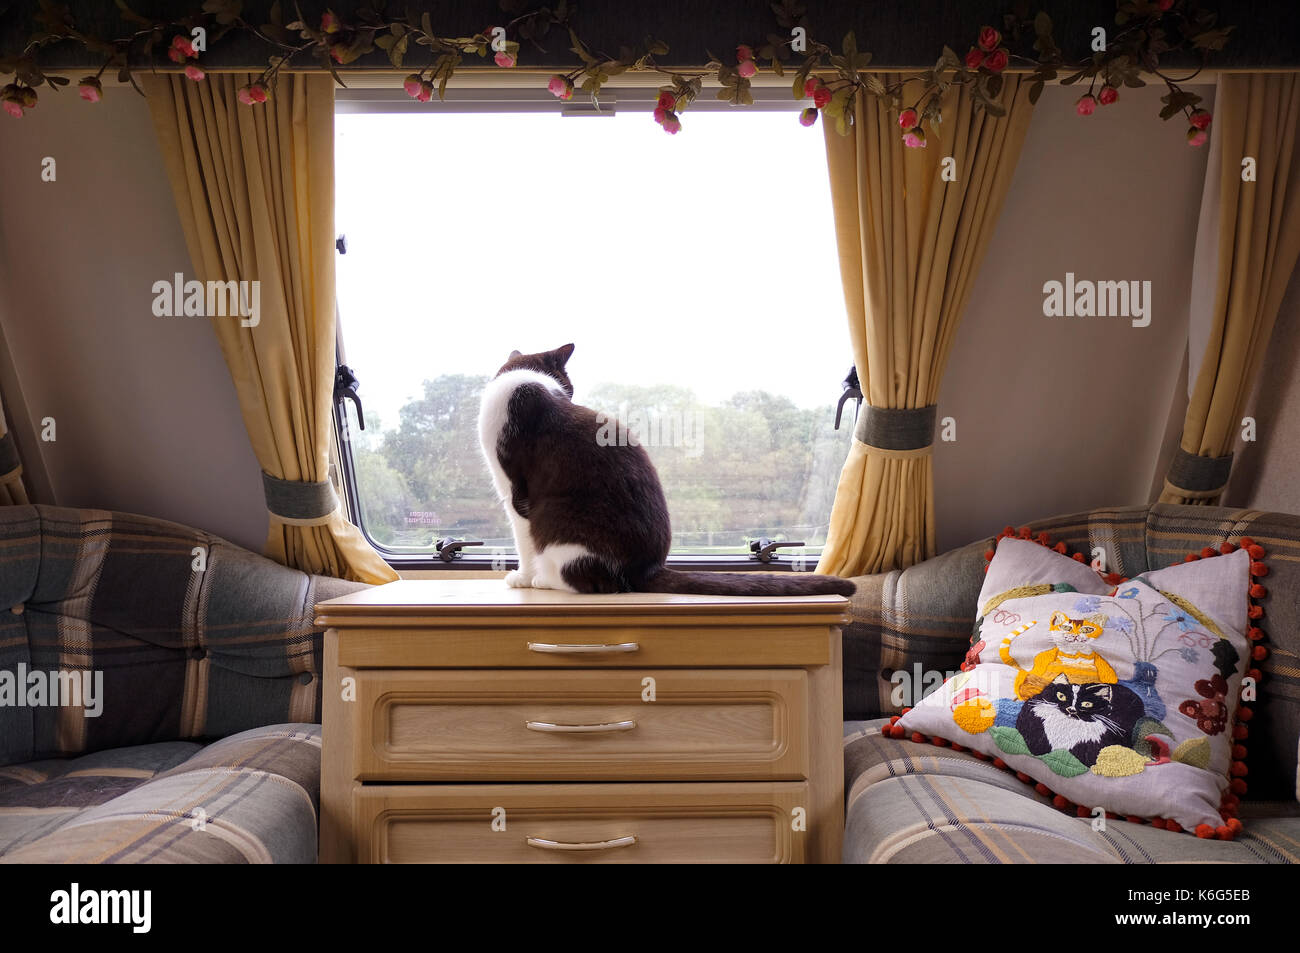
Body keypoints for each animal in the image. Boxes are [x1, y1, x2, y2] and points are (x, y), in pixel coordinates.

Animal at [475, 343, 852, 595]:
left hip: (560, 531)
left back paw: (543, 580)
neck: (522, 381)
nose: (570, 395)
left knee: (587, 580)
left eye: (570, 387)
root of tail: (645, 569)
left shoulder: (516, 494)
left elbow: (523, 542)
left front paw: (521, 577)